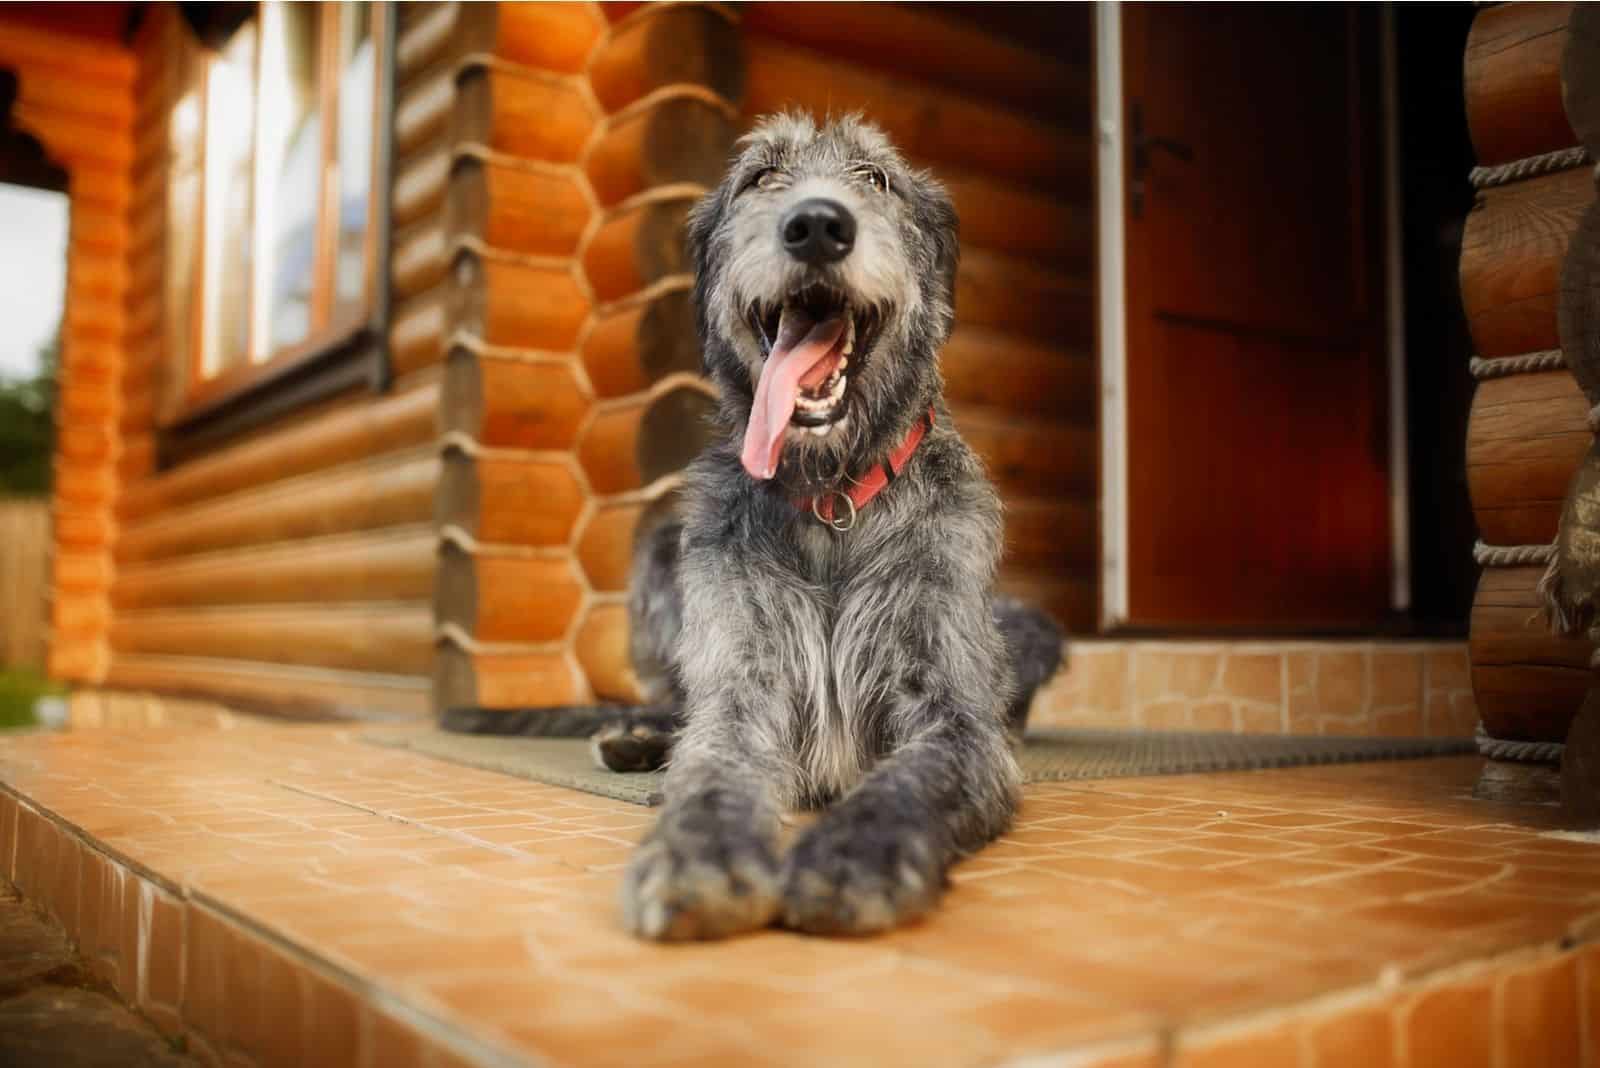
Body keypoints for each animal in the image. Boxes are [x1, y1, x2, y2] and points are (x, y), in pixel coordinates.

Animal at [444, 112, 1062, 940]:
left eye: (876, 178)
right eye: (761, 178)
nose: (818, 225)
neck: (832, 496)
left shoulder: (957, 719)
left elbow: (915, 777)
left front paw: (853, 853)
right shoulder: (745, 678)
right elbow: (713, 763)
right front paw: (700, 853)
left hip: (1028, 629)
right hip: (661, 553)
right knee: (681, 706)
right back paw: (641, 741)